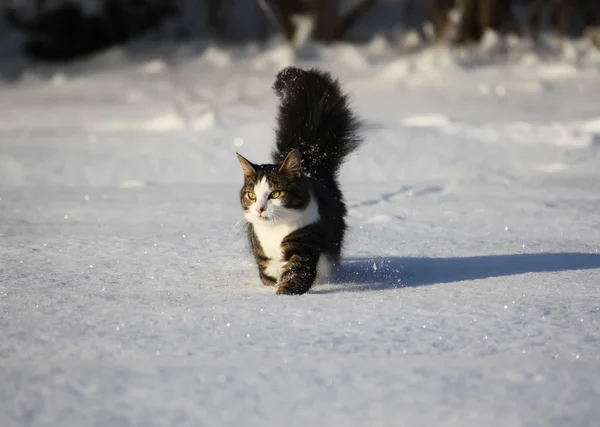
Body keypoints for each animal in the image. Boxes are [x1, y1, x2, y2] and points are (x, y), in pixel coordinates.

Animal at [237, 66, 364, 294]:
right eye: (252, 195)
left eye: (275, 193)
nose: (260, 209)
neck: (274, 231)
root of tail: (310, 161)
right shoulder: (261, 250)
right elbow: (267, 275)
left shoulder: (305, 242)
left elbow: (296, 276)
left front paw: (283, 297)